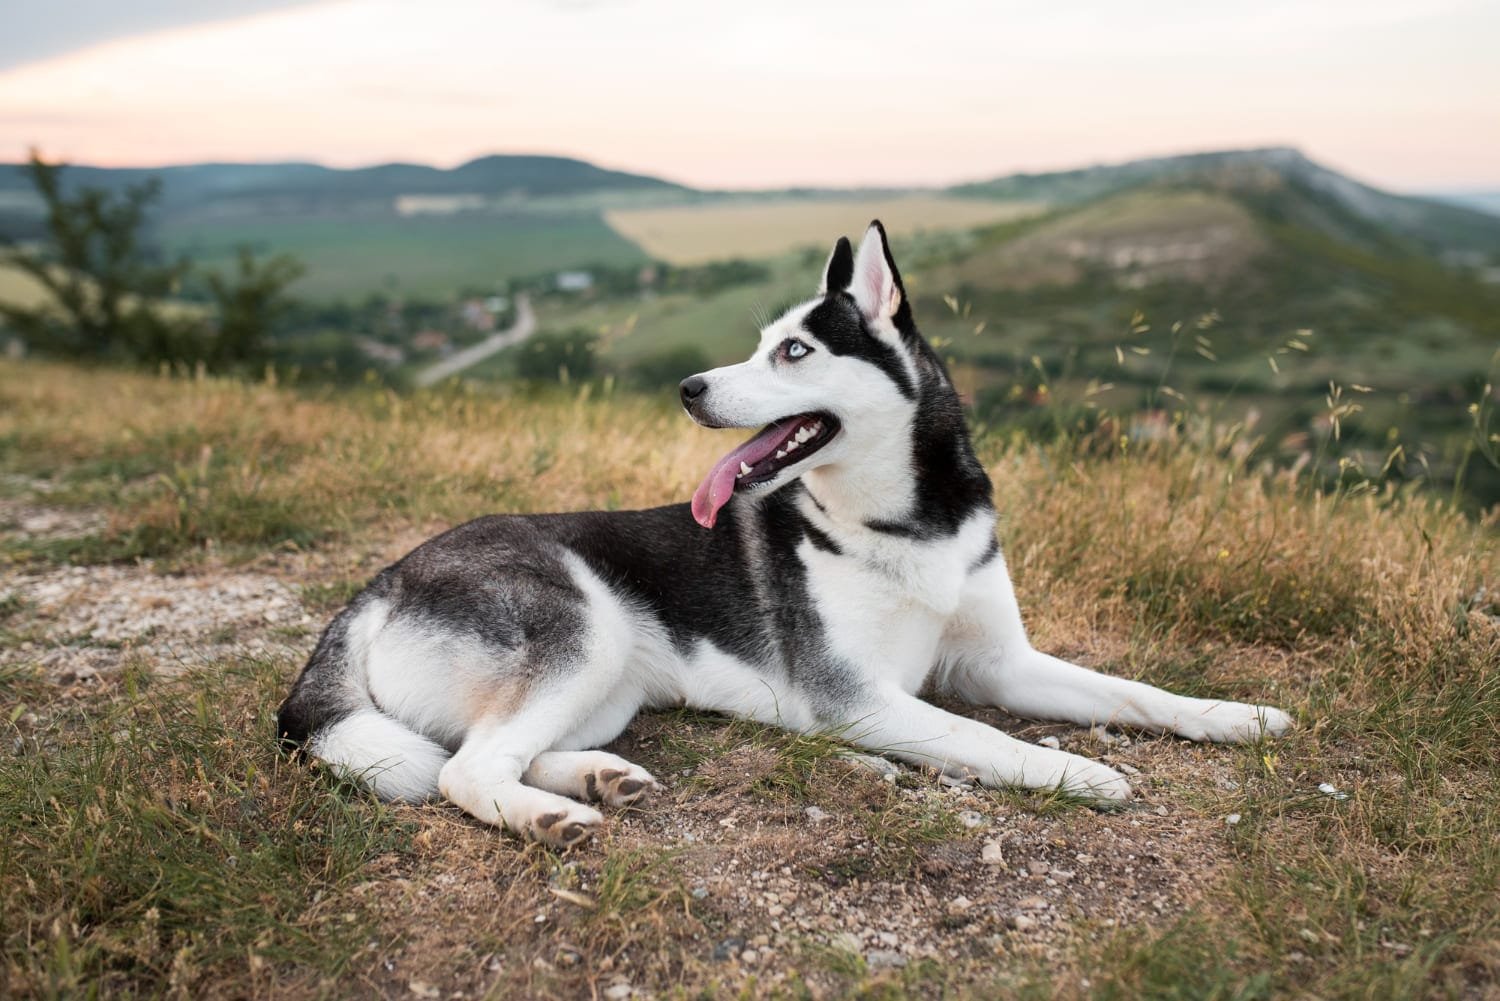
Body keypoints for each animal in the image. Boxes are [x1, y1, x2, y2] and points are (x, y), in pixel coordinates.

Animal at [279, 223, 1290, 840]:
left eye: (794, 350)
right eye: (762, 343)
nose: (688, 386)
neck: (906, 521)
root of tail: (378, 585)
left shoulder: (1000, 662)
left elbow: (1132, 692)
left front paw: (1237, 716)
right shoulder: (860, 699)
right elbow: (988, 740)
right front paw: (1079, 772)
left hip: (608, 682)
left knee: (485, 746)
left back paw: (597, 776)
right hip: (582, 627)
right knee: (462, 770)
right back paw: (550, 817)